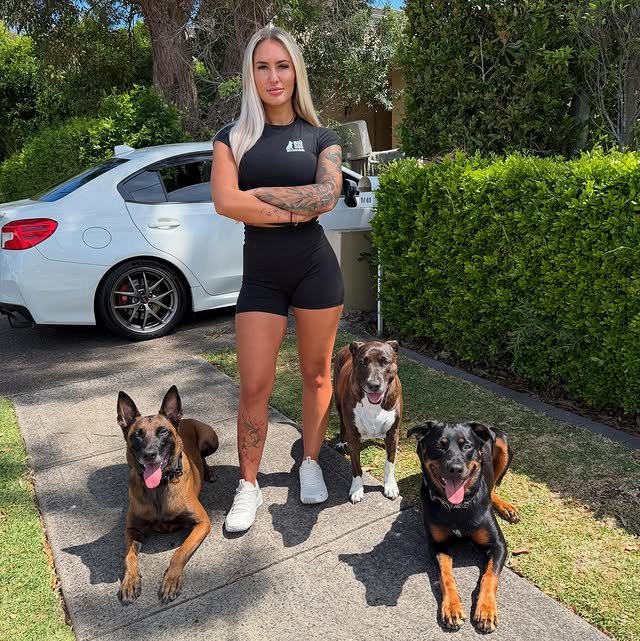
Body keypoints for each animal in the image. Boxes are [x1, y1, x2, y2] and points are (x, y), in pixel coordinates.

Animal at [116, 385, 219, 604]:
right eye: (137, 435)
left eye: (163, 431)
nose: (149, 454)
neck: (159, 487)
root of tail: (184, 419)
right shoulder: (131, 529)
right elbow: (129, 557)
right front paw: (130, 581)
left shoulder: (202, 523)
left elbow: (179, 552)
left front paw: (171, 580)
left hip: (211, 439)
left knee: (204, 457)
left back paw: (209, 471)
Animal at [333, 340, 402, 503]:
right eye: (363, 362)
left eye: (385, 361)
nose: (374, 385)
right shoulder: (353, 435)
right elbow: (356, 465)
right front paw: (357, 489)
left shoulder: (392, 431)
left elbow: (390, 463)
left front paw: (390, 486)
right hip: (338, 403)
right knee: (342, 423)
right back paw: (341, 442)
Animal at [408, 420, 520, 633]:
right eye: (440, 445)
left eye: (467, 446)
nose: (455, 468)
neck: (457, 507)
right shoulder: (438, 545)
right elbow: (446, 575)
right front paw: (451, 608)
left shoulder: (498, 545)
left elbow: (489, 576)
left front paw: (486, 610)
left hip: (502, 443)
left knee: (492, 488)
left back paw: (506, 507)